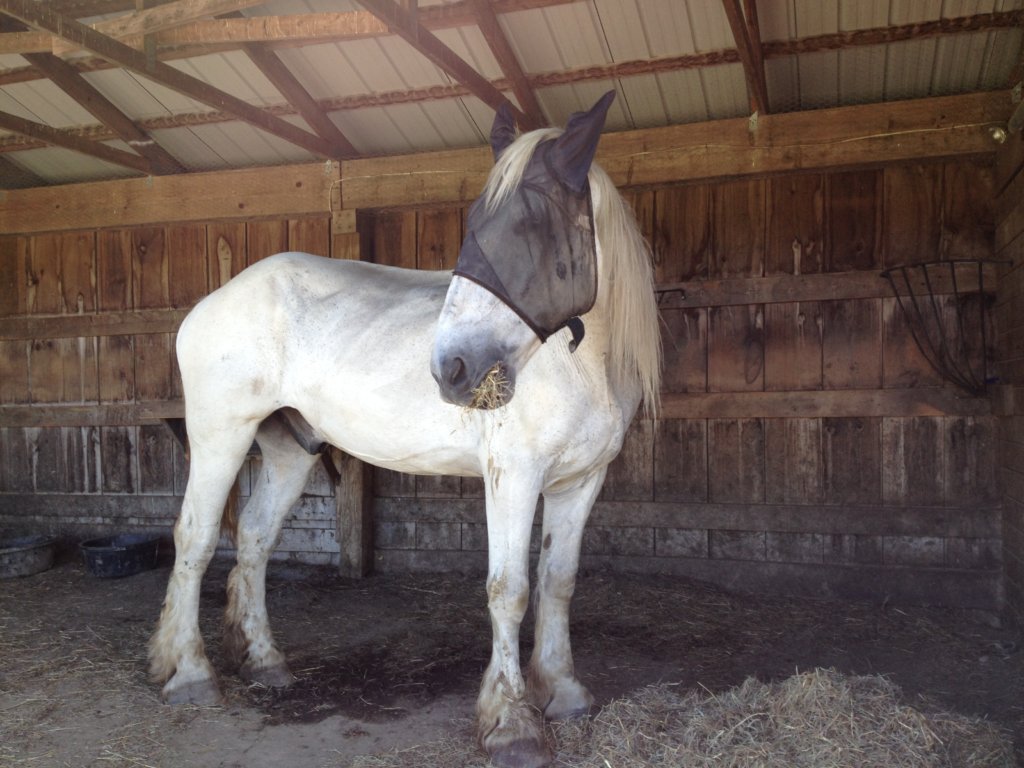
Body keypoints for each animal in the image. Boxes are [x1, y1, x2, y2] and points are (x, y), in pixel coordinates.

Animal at [149, 91, 661, 768]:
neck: (579, 365)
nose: (451, 369)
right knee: (196, 539)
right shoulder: (514, 478)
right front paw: (512, 722)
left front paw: (563, 690)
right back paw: (189, 673)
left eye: (529, 224)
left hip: (290, 451)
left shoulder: (581, 482)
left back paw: (263, 661)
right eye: (473, 223)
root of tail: (212, 303)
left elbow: (558, 582)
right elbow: (511, 590)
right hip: (220, 436)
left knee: (254, 538)